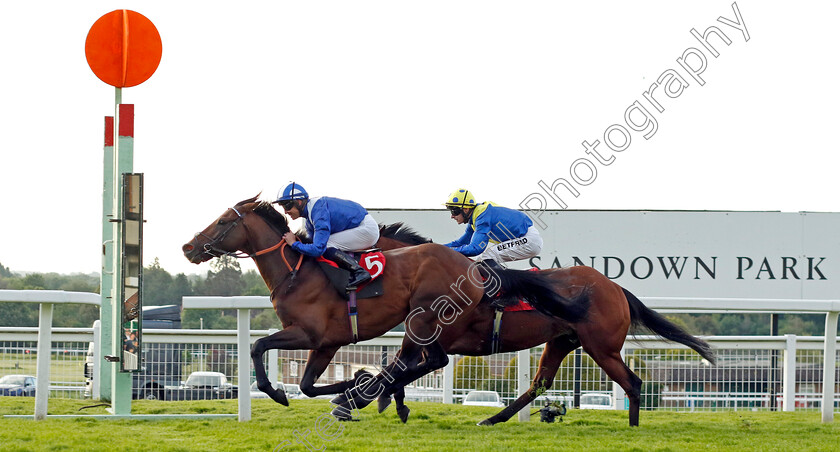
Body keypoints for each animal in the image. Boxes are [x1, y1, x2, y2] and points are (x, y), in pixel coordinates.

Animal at [183, 197, 592, 406]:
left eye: (223, 221)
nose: (188, 247)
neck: (295, 270)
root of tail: (470, 270)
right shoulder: (328, 342)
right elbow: (309, 385)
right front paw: (354, 384)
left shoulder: (310, 334)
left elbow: (257, 347)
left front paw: (279, 393)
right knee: (431, 361)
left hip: (423, 317)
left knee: (435, 360)